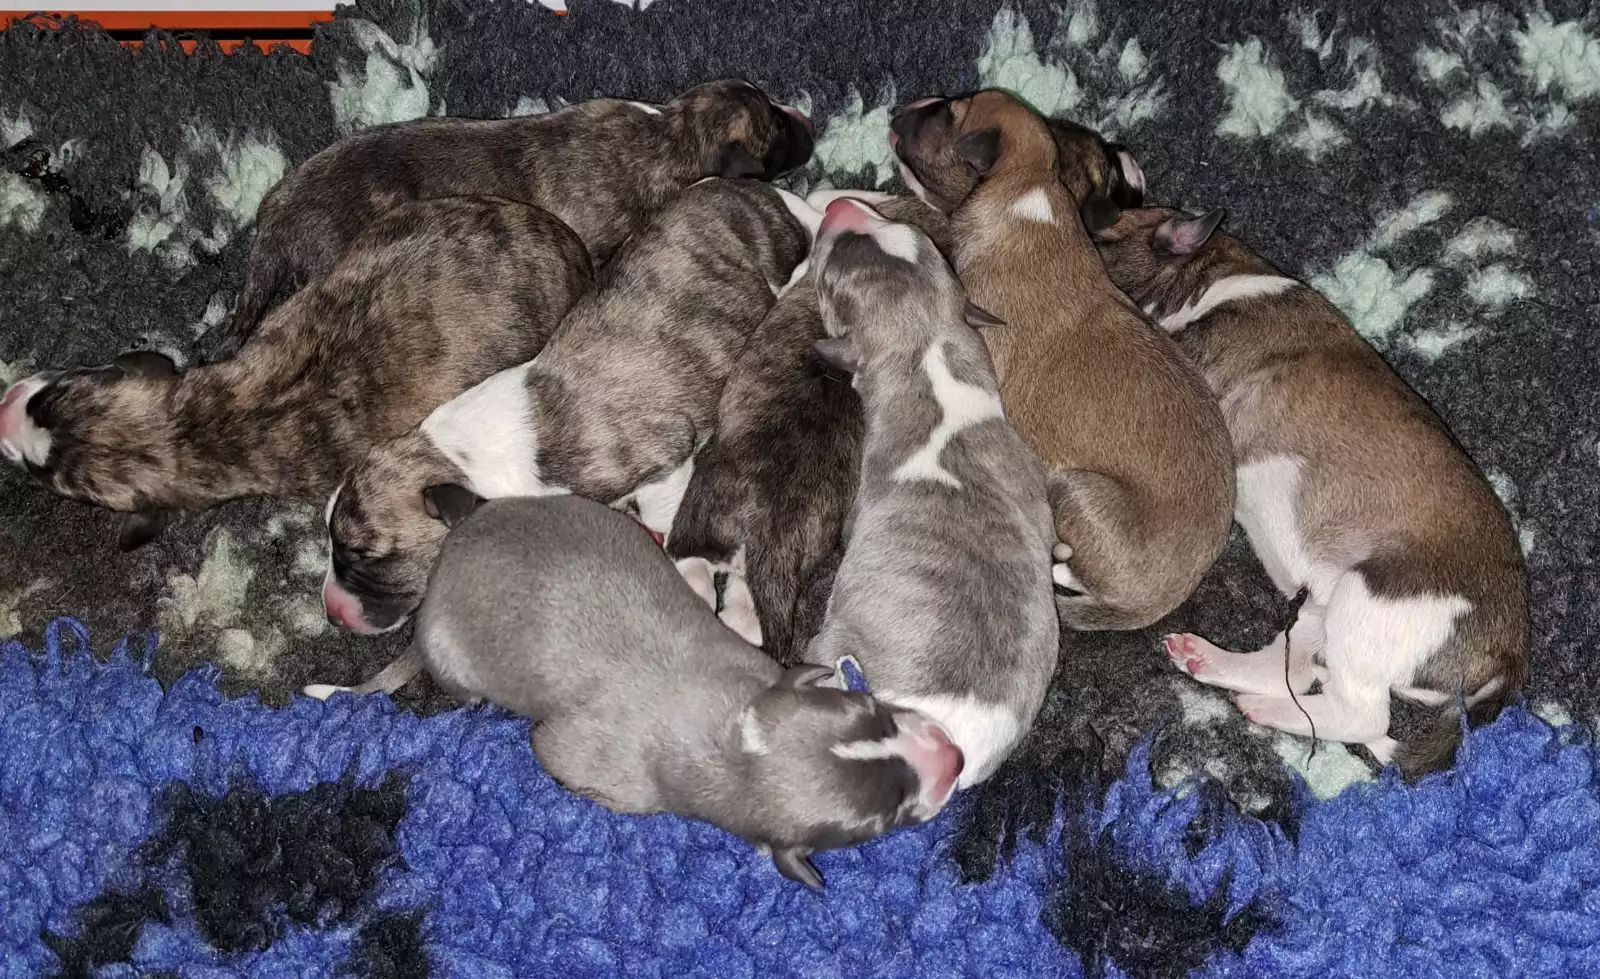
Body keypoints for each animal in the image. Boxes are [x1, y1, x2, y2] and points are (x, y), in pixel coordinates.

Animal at [304, 493, 964, 889]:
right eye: (883, 821)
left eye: (873, 708)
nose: (953, 758)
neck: (737, 734)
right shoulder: (609, 769)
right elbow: (555, 752)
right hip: (453, 658)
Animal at [322, 178, 818, 635]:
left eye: (363, 555)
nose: (331, 613)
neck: (461, 452)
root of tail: (754, 187)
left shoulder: (664, 455)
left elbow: (663, 508)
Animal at [888, 90, 1235, 632]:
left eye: (948, 113)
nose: (900, 109)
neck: (1028, 192)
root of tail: (1158, 604)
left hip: (1074, 487)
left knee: (1075, 568)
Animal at [1092, 206, 1529, 775]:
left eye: (1097, 233)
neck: (1211, 276)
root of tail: (1509, 656)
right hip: (1324, 608)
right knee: (1296, 671)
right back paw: (1208, 661)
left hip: (1367, 599)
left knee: (1362, 719)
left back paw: (1264, 708)